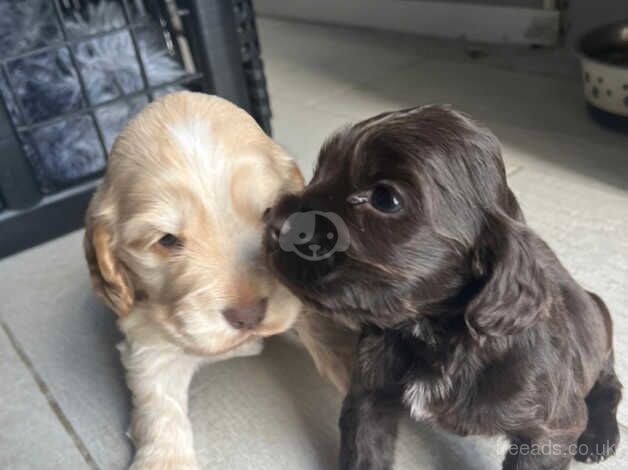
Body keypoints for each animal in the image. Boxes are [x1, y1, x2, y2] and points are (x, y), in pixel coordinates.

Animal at [84, 92, 306, 470]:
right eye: (167, 240)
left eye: (268, 215)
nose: (249, 316)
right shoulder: (146, 339)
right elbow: (158, 405)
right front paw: (164, 460)